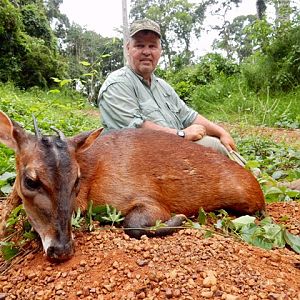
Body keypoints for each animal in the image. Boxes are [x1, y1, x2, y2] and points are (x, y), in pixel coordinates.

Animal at [0, 111, 264, 262]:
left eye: (77, 179)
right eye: (30, 181)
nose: (61, 250)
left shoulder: (147, 198)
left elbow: (132, 224)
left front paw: (180, 219)